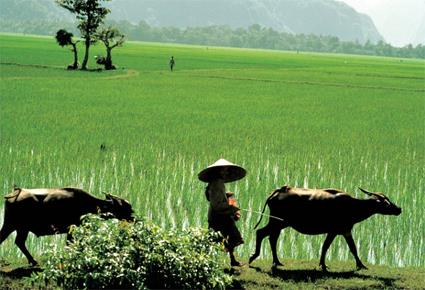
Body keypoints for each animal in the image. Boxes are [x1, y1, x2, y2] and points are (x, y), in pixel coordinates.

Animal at [0, 186, 132, 266]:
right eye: (126, 207)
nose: (133, 217)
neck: (88, 203)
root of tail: (16, 192)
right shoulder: (72, 229)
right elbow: (70, 244)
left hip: (15, 227)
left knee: (17, 242)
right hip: (17, 226)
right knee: (17, 241)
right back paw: (33, 261)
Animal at [248, 187, 400, 270]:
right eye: (385, 202)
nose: (399, 209)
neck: (352, 206)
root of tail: (278, 191)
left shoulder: (345, 231)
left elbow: (352, 248)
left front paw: (360, 265)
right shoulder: (335, 231)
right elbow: (327, 247)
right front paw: (323, 265)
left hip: (280, 224)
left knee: (271, 238)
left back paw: (277, 261)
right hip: (276, 222)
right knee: (261, 233)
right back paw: (253, 257)